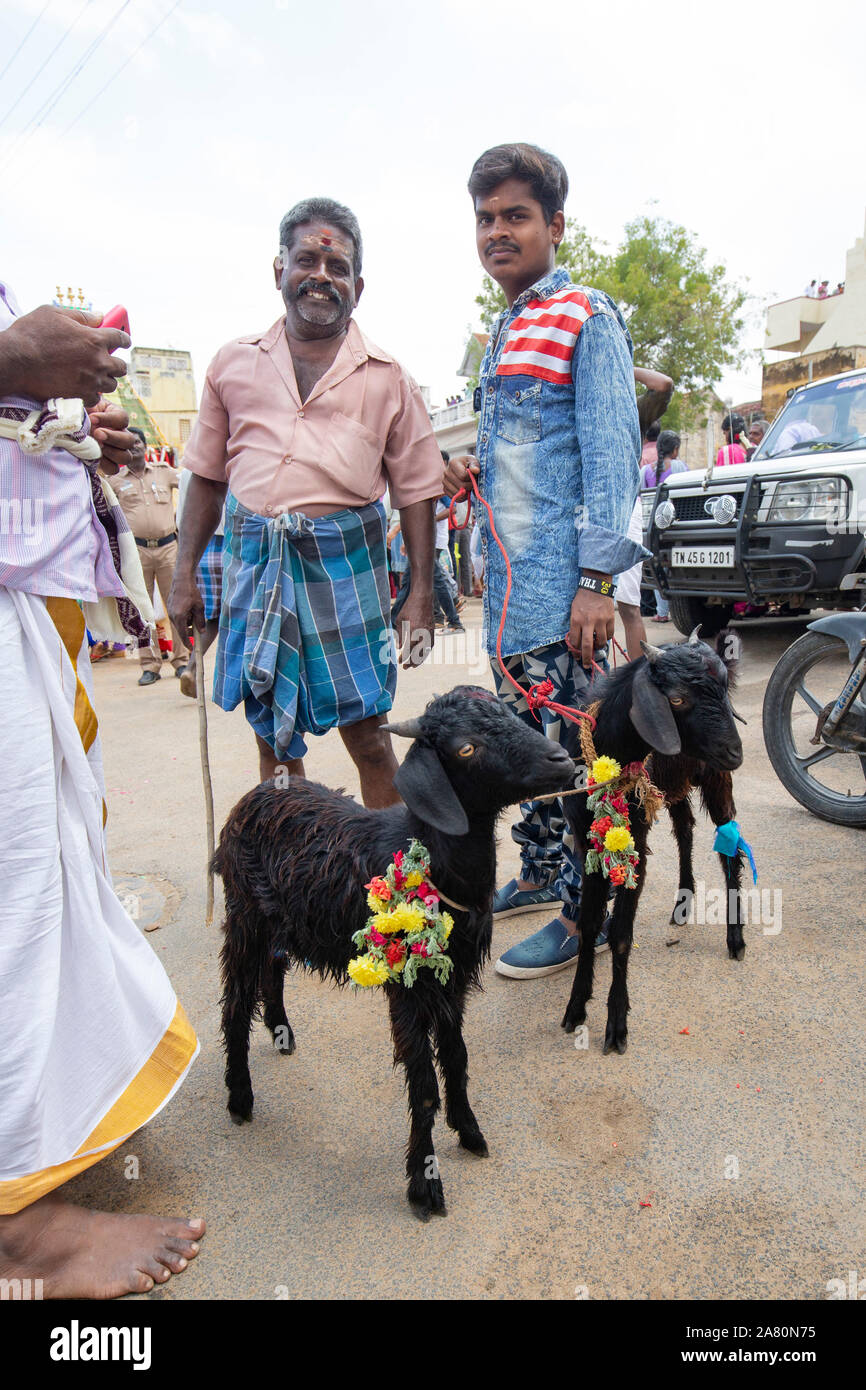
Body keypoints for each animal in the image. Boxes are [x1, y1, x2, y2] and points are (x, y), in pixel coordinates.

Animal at [215, 683, 575, 1217]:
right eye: (465, 748)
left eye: (510, 716)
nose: (561, 758)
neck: (435, 866)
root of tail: (253, 797)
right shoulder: (405, 986)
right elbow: (423, 1085)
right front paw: (425, 1185)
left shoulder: (452, 977)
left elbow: (457, 1058)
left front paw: (469, 1131)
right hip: (245, 917)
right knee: (236, 1002)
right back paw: (240, 1097)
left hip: (282, 922)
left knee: (272, 975)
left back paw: (281, 1033)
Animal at [561, 631, 745, 1050]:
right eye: (676, 699)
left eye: (723, 687)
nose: (735, 751)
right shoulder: (587, 845)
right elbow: (588, 925)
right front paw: (576, 1006)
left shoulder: (634, 850)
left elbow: (621, 935)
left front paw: (616, 1024)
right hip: (673, 784)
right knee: (686, 828)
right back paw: (683, 900)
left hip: (716, 780)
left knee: (731, 849)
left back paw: (735, 937)